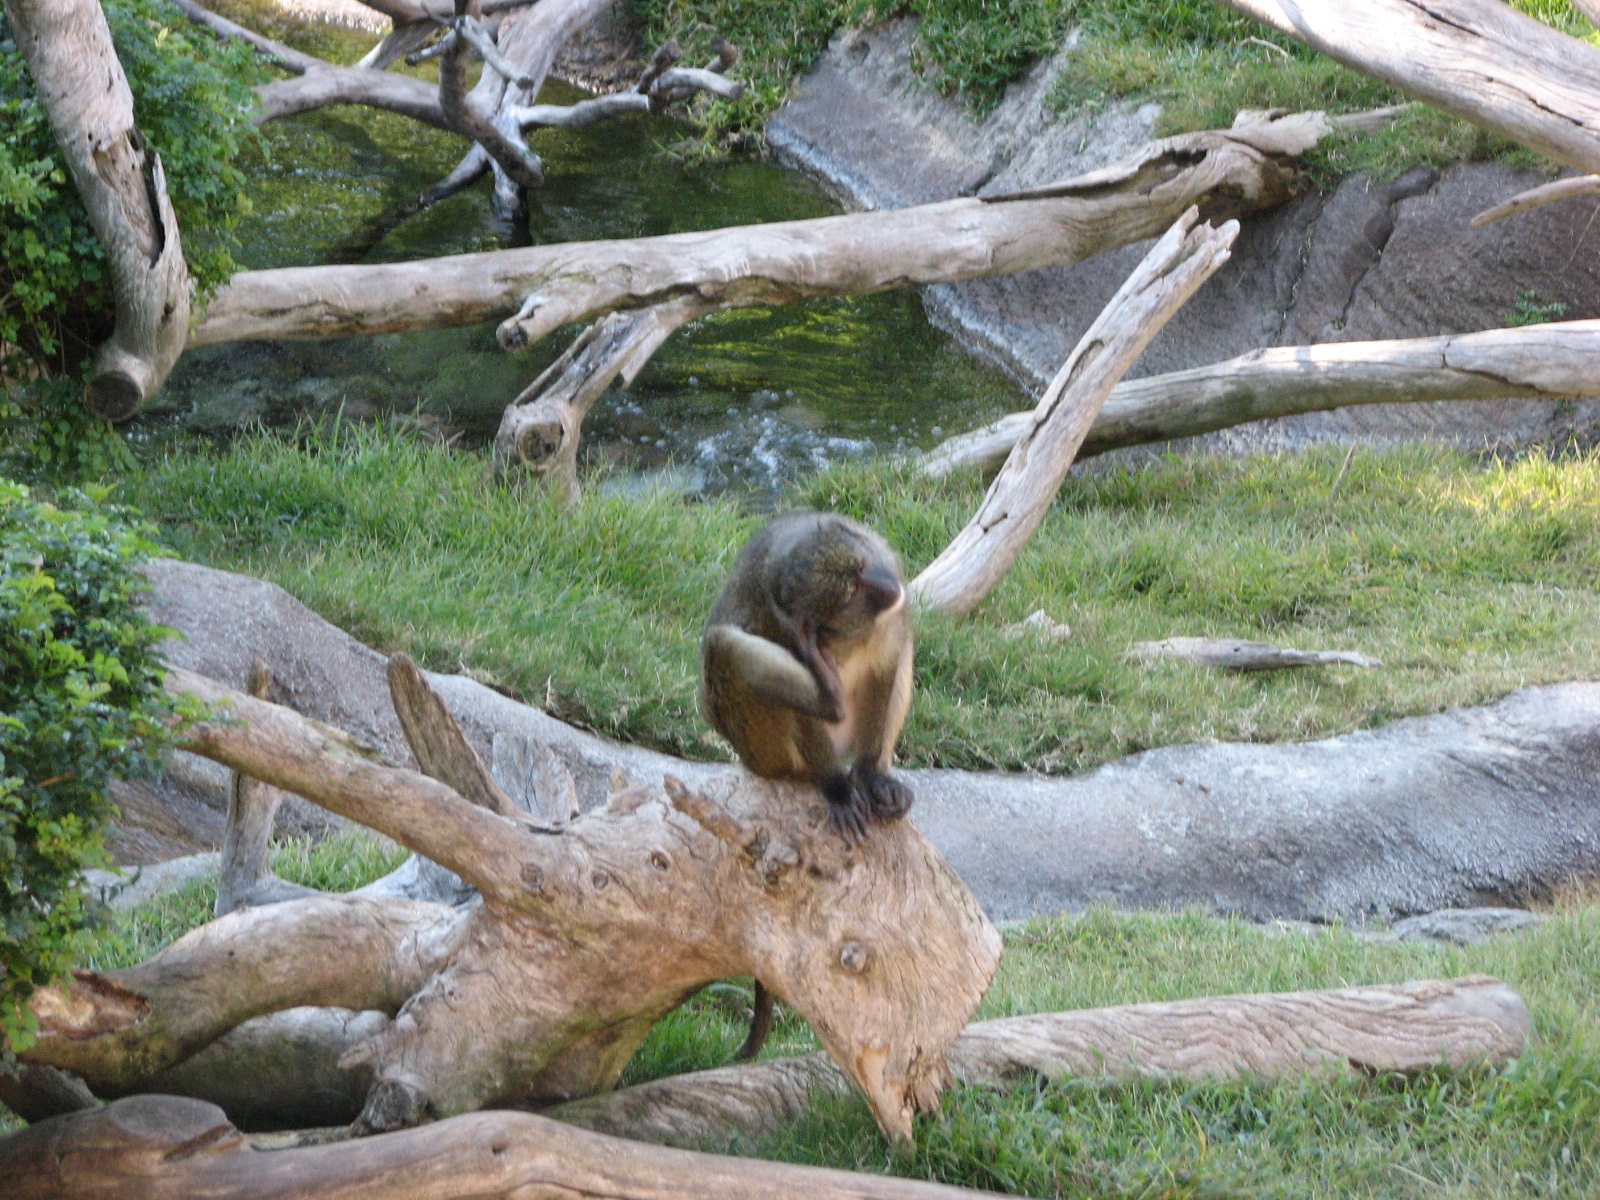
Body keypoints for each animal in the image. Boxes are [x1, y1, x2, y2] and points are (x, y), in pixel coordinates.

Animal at [701, 511, 915, 1060]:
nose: (886, 587)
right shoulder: (785, 629)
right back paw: (827, 722)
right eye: (852, 591)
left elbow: (890, 660)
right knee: (722, 647)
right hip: (759, 747)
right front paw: (838, 789)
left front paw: (873, 775)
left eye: (861, 568)